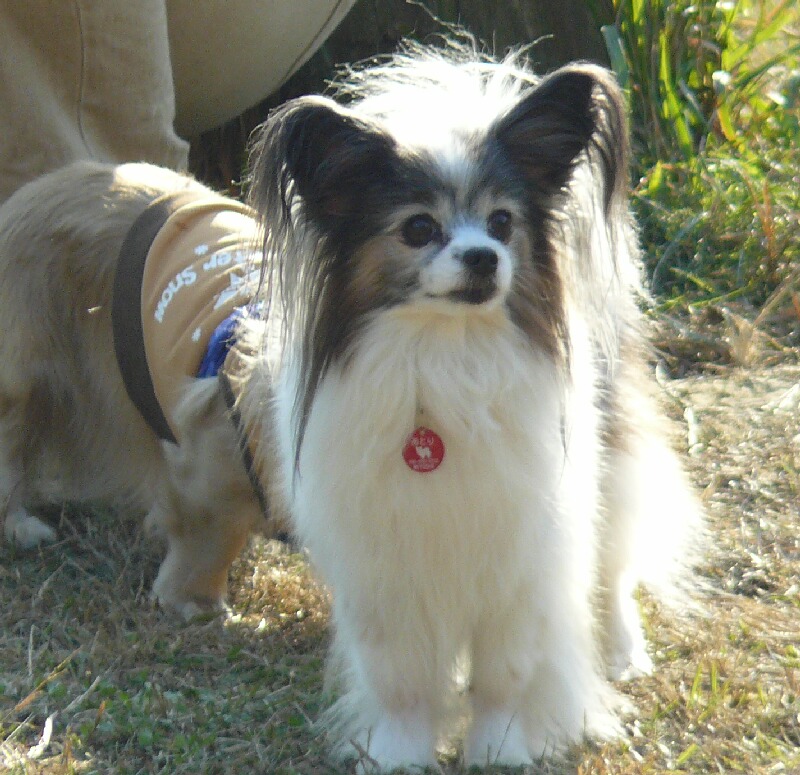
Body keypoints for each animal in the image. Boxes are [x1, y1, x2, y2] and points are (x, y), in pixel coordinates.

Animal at [246, 43, 702, 769]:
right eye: (419, 228)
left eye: (502, 223)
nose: (484, 257)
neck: (446, 358)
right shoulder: (385, 575)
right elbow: (400, 681)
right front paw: (399, 753)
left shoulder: (521, 560)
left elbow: (504, 674)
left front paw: (501, 748)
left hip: (612, 458)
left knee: (616, 558)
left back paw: (622, 649)